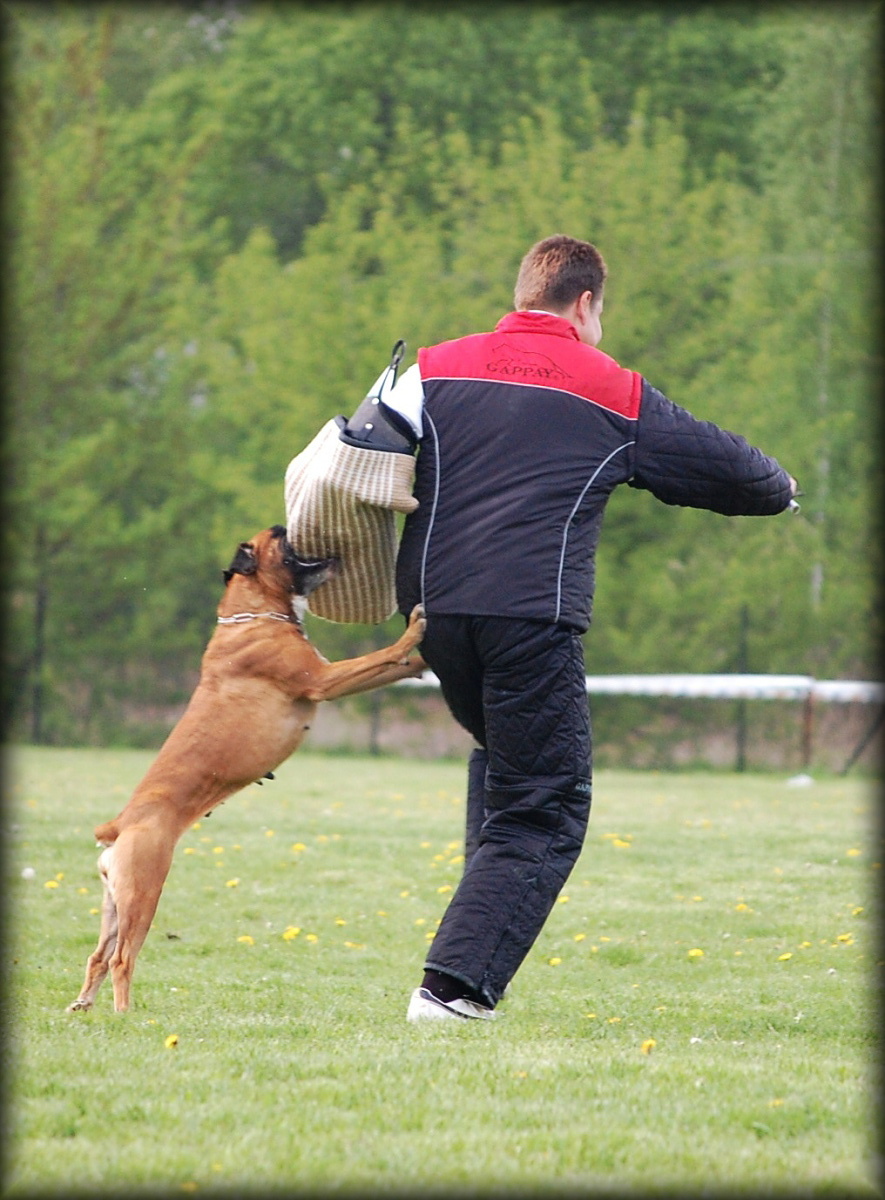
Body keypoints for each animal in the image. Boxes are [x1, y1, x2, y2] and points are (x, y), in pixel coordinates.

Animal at [67, 528, 426, 1012]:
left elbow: (396, 666)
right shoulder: (325, 679)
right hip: (144, 893)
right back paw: (124, 1016)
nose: (285, 527)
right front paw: (415, 629)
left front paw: (424, 658)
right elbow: (385, 655)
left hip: (115, 904)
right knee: (123, 959)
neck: (252, 615)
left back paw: (84, 1005)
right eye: (279, 540)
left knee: (98, 957)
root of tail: (120, 825)